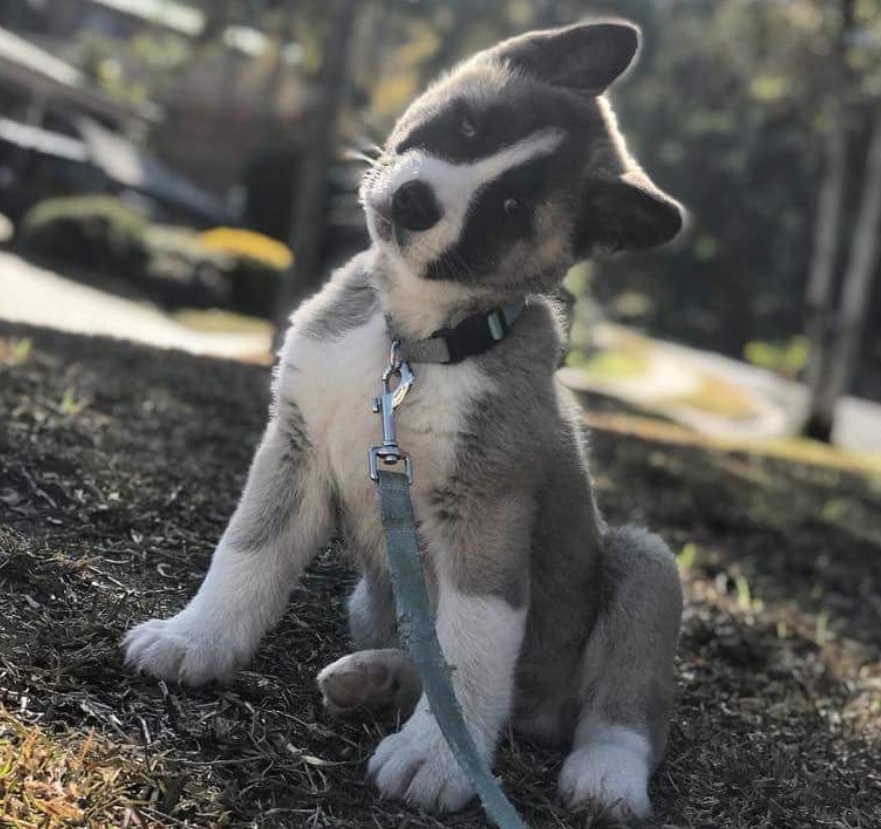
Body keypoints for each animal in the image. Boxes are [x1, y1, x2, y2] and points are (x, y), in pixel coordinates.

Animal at [124, 22, 684, 820]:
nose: (417, 202)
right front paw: (195, 638)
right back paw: (376, 677)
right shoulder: (293, 447)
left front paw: (437, 756)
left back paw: (606, 771)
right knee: (425, 658)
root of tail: (540, 712)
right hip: (368, 598)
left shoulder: (483, 512)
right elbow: (247, 553)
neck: (410, 343)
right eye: (471, 127)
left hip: (643, 563)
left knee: (619, 705)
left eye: (509, 209)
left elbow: (471, 647)